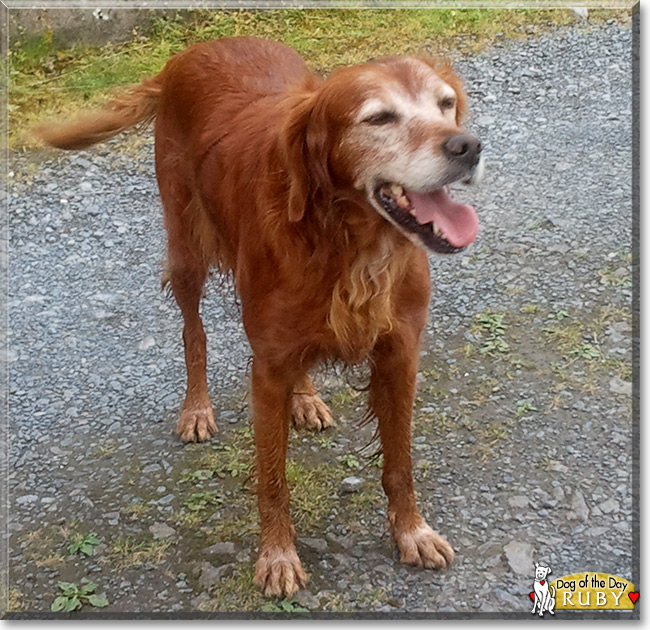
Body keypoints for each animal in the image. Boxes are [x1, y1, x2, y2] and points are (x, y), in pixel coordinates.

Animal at [35, 37, 480, 600]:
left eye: (446, 104)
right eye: (379, 117)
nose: (469, 146)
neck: (347, 243)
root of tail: (192, 52)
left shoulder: (400, 353)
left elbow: (399, 463)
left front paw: (412, 533)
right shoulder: (266, 368)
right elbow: (272, 477)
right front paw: (277, 556)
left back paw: (306, 399)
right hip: (186, 249)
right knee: (193, 332)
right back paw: (197, 409)